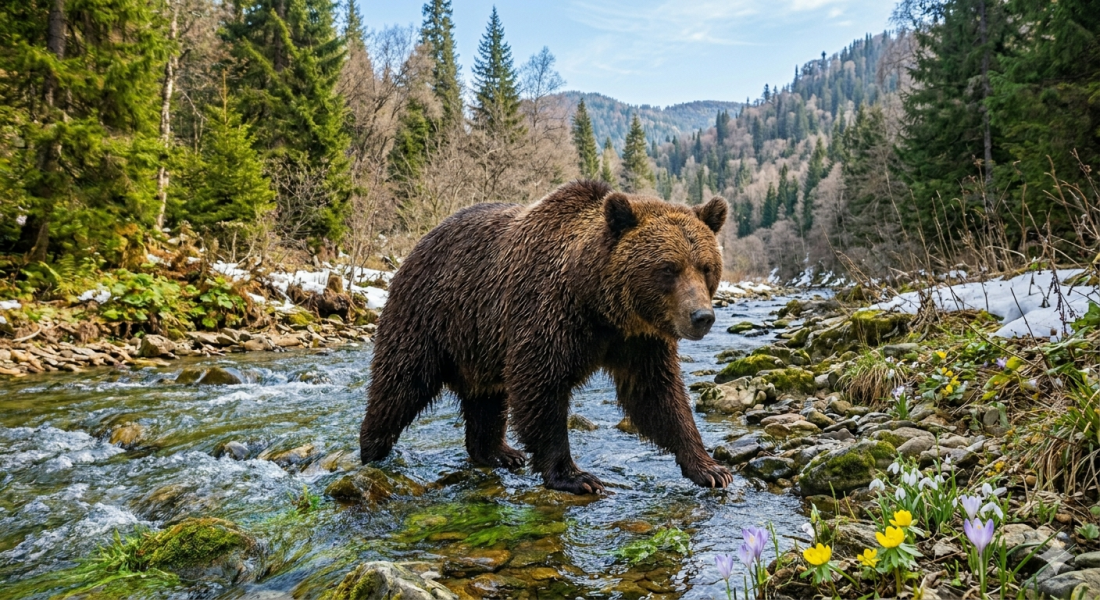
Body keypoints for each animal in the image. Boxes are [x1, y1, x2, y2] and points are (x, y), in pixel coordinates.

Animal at [359, 180, 733, 494]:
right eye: (668, 268)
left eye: (705, 267)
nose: (702, 317)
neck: (599, 305)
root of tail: (419, 244)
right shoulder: (549, 312)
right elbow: (541, 386)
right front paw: (576, 476)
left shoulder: (639, 341)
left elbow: (657, 395)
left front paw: (710, 468)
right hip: (431, 316)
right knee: (401, 383)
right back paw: (372, 449)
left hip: (479, 344)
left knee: (487, 399)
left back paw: (498, 452)